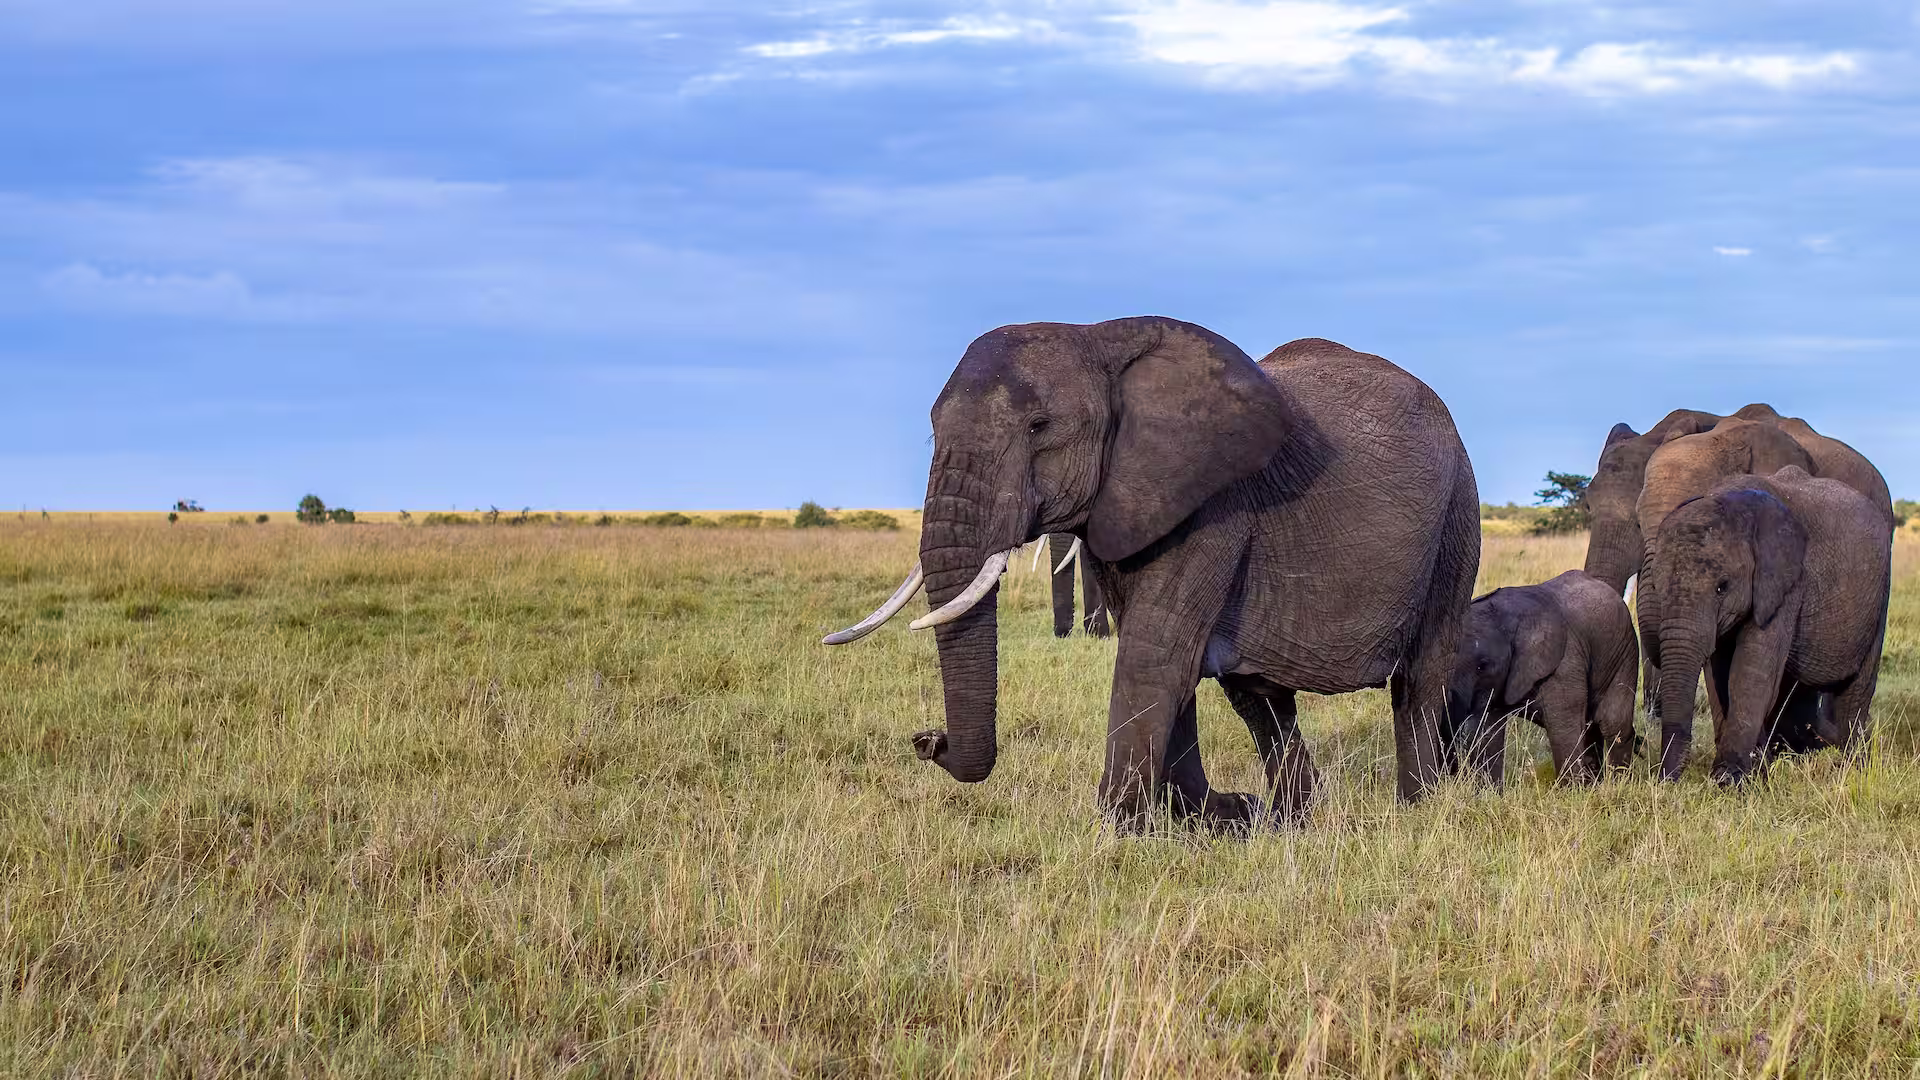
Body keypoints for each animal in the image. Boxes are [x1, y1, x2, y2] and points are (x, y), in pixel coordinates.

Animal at [823, 317, 1480, 829]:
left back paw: (1417, 809)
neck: (1097, 339)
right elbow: (1169, 658)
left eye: (1039, 427)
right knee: (1261, 699)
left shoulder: (1212, 502)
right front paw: (1212, 815)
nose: (925, 740)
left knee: (1419, 674)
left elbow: (1154, 652)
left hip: (1458, 513)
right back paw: (1291, 819)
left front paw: (1120, 830)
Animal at [1446, 570, 1639, 786]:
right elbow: (1488, 730)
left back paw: (1618, 784)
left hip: (1624, 651)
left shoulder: (1564, 663)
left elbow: (1563, 727)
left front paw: (1571, 790)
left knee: (1613, 724)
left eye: (1482, 666)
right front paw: (1490, 791)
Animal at [1640, 467, 1892, 784]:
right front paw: (1751, 774)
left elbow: (1750, 670)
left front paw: (1730, 780)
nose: (1664, 780)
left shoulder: (1785, 581)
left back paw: (1850, 770)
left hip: (1879, 596)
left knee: (1856, 688)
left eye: (1722, 587)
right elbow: (1720, 674)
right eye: (1658, 587)